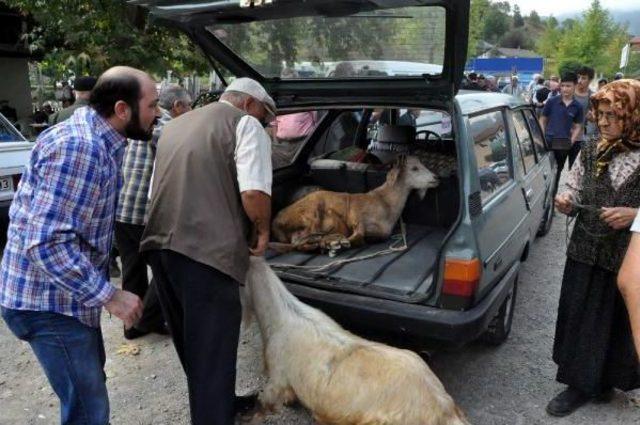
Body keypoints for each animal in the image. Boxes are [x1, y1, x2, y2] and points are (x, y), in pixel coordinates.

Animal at [270, 155, 440, 252]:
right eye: (414, 168)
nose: (436, 177)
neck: (385, 202)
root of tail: (276, 222)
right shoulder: (356, 215)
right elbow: (358, 235)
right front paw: (340, 242)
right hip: (312, 213)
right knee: (302, 240)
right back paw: (331, 242)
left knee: (302, 242)